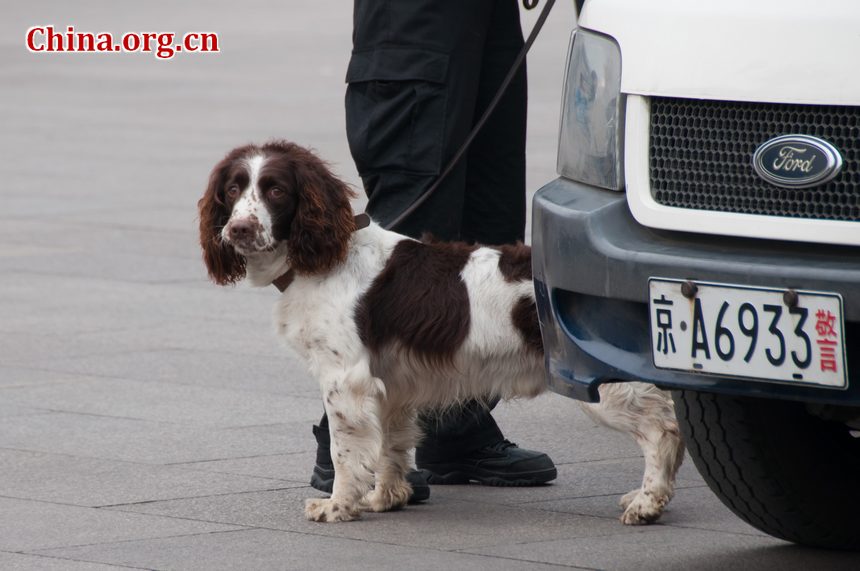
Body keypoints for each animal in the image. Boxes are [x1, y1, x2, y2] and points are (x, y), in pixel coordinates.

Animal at [198, 141, 680, 524]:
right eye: (232, 190)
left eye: (276, 190)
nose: (238, 228)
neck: (327, 256)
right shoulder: (390, 383)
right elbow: (392, 444)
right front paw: (387, 497)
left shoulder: (345, 380)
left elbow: (344, 450)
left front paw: (337, 506)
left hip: (595, 377)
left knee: (662, 429)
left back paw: (648, 503)